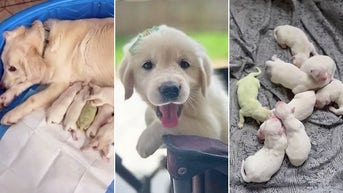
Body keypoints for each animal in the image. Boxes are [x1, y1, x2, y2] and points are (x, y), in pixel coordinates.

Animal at [119, 24, 230, 158]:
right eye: (147, 65)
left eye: (185, 64)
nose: (170, 89)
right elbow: (149, 115)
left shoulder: (209, 129)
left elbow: (176, 123)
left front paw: (145, 140)